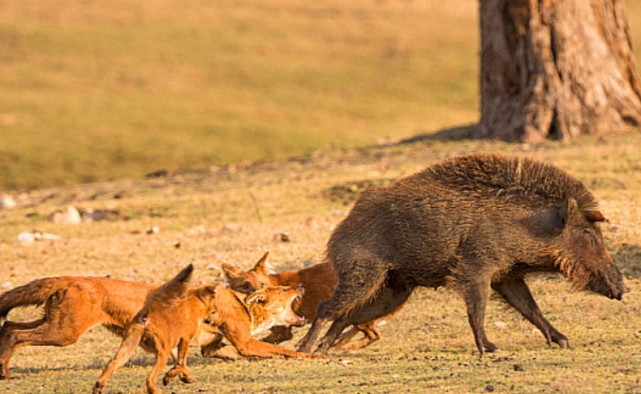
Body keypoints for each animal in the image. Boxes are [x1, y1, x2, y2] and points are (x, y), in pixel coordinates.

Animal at [93, 264, 218, 394]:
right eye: (214, 309)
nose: (213, 320)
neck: (192, 305)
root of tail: (147, 313)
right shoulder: (185, 339)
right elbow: (181, 363)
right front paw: (169, 377)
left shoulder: (174, 345)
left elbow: (180, 364)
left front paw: (182, 376)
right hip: (162, 354)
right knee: (149, 378)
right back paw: (154, 390)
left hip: (127, 349)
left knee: (111, 363)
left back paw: (99, 385)